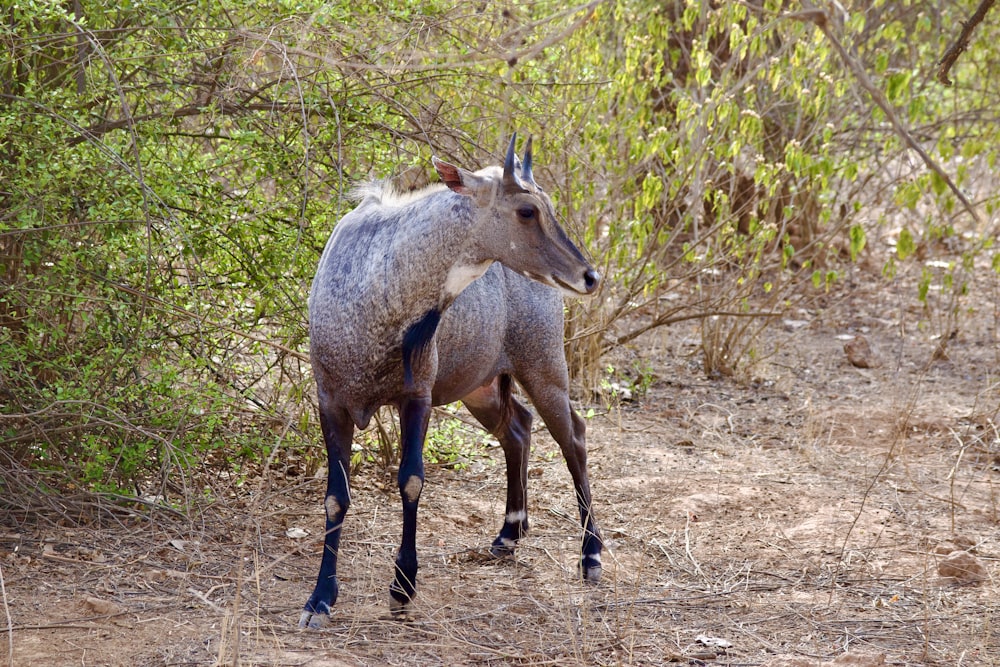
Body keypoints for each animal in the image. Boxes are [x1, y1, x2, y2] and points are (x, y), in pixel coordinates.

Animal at [302, 134, 600, 628]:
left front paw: (402, 587)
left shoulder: (416, 397)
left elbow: (411, 480)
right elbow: (334, 498)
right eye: (527, 210)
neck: (378, 286)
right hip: (480, 388)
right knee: (518, 428)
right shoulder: (331, 402)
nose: (590, 276)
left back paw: (591, 557)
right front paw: (320, 599)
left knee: (572, 438)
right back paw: (508, 533)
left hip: (544, 370)